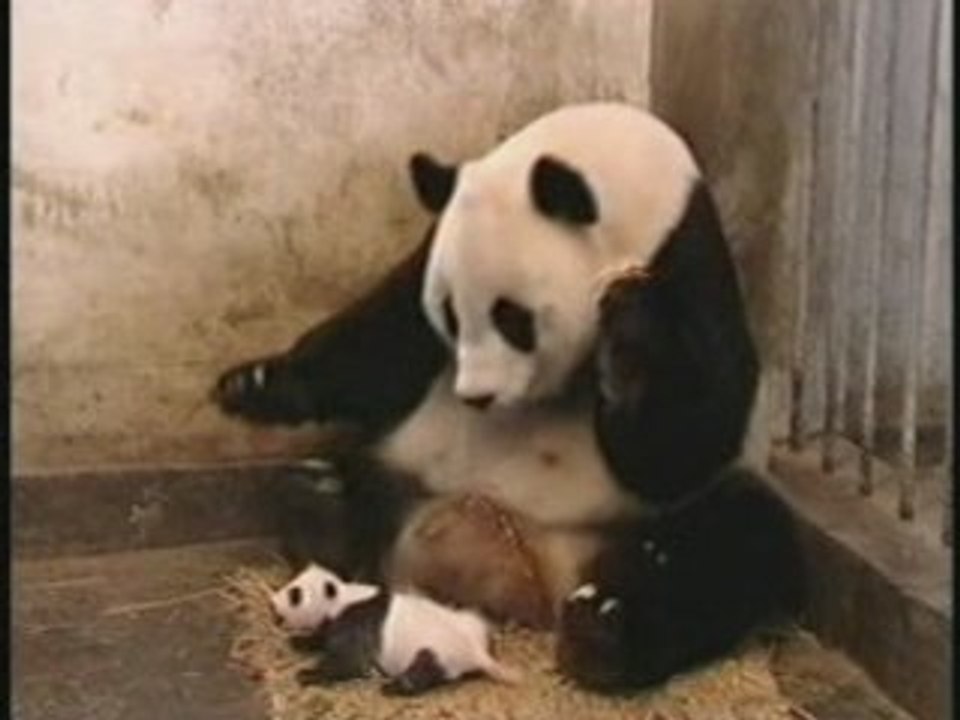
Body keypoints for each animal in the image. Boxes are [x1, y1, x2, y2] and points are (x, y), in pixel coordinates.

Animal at [213, 102, 802, 691]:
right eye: (450, 313)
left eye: (512, 318)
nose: (477, 395)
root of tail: (522, 573)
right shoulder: (435, 244)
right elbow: (385, 338)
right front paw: (253, 385)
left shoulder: (689, 266)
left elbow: (690, 436)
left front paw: (628, 334)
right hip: (409, 469)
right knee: (344, 485)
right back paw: (322, 503)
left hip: (624, 528)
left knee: (732, 542)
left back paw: (601, 632)